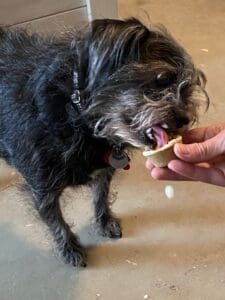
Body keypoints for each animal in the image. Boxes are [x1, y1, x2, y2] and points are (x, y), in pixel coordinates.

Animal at [0, 18, 208, 268]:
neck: (77, 117)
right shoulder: (42, 189)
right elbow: (57, 222)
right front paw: (70, 248)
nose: (185, 119)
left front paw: (104, 221)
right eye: (161, 79)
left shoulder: (102, 171)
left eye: (186, 89)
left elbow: (101, 197)